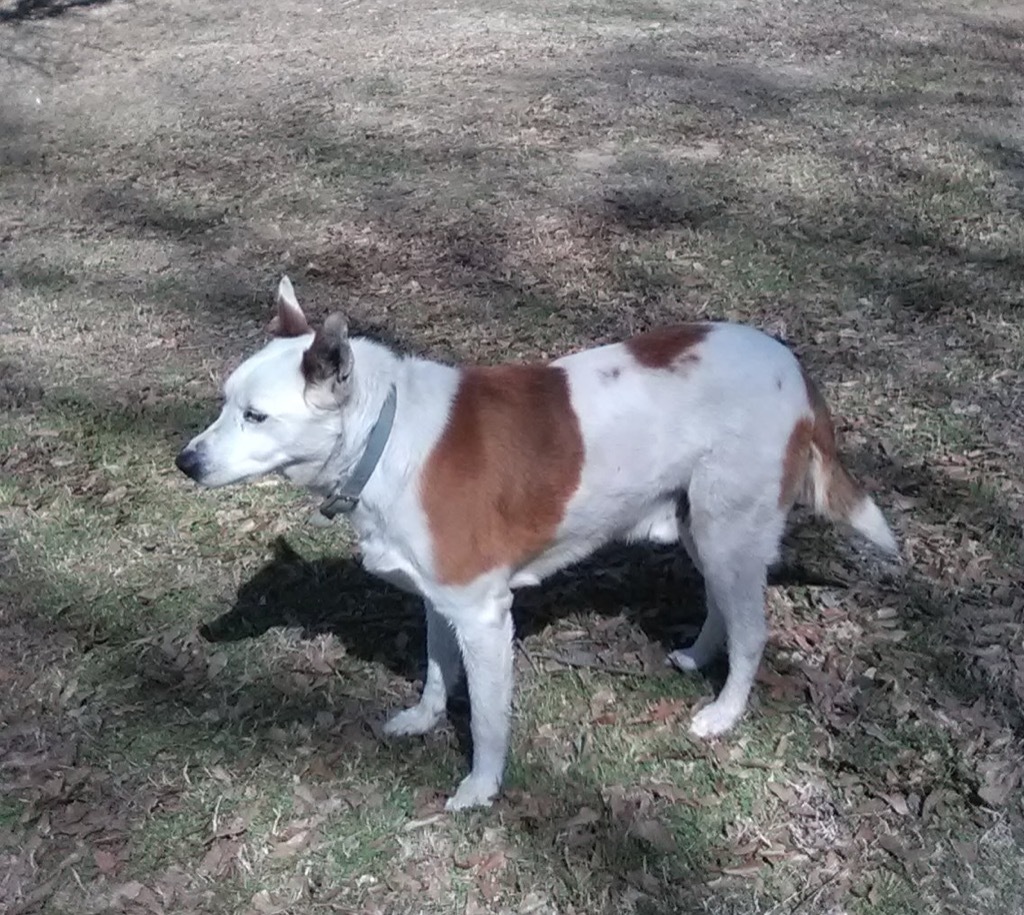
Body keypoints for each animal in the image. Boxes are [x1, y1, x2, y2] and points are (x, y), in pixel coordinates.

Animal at [176, 278, 897, 810]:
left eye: (257, 416)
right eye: (225, 404)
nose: (185, 462)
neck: (385, 431)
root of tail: (793, 367)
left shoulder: (484, 617)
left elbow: (488, 719)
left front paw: (480, 789)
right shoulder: (440, 602)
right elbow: (435, 670)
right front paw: (424, 719)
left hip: (730, 531)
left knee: (752, 631)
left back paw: (723, 712)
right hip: (702, 526)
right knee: (723, 605)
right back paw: (697, 655)